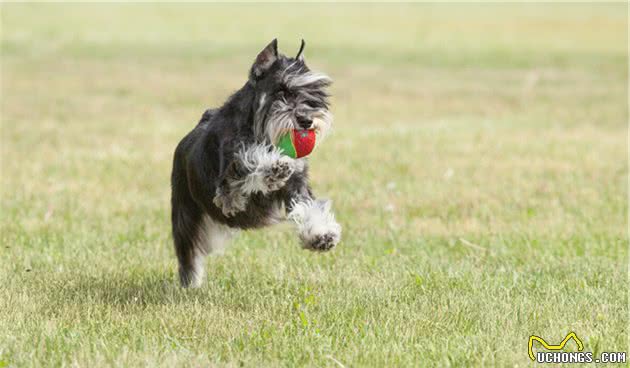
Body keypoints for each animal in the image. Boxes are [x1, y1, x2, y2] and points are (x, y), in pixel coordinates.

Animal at [170, 39, 344, 288]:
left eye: (315, 92)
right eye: (281, 91)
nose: (307, 120)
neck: (261, 131)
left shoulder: (297, 184)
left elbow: (308, 206)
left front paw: (321, 235)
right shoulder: (228, 190)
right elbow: (249, 162)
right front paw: (274, 167)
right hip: (185, 214)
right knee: (188, 252)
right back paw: (190, 284)